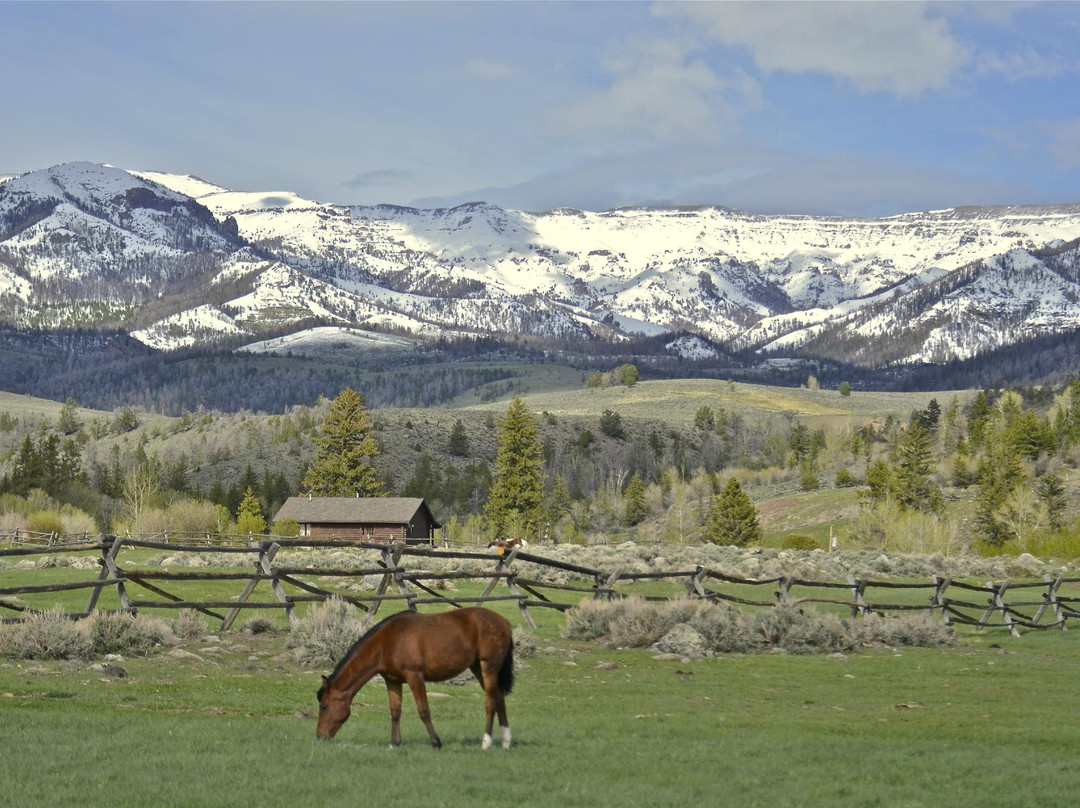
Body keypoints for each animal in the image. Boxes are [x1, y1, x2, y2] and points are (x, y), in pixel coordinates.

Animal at [315, 609, 514, 747]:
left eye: (324, 706)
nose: (319, 737)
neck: (387, 642)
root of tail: (503, 620)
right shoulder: (392, 680)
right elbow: (395, 711)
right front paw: (395, 743)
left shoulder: (415, 676)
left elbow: (423, 711)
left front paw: (436, 742)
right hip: (478, 668)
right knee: (499, 698)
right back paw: (506, 741)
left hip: (488, 667)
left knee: (490, 702)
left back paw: (486, 742)